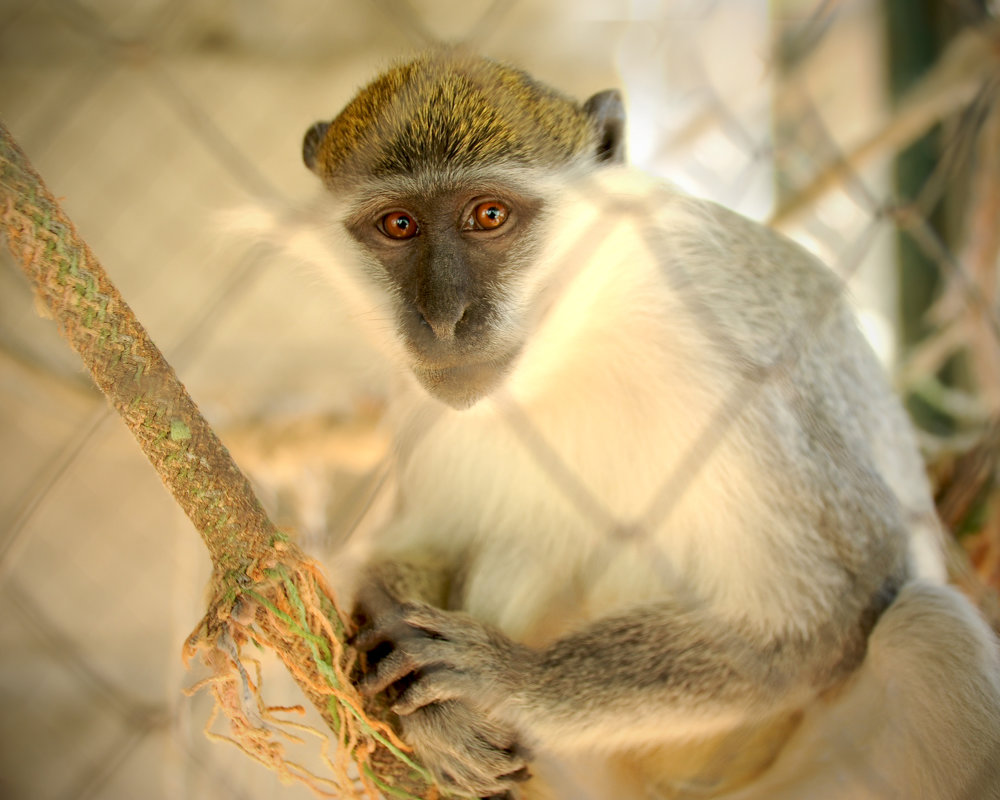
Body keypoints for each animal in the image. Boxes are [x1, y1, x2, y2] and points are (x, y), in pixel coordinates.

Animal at [292, 51, 1000, 800]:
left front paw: (512, 678)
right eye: (398, 225)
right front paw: (434, 712)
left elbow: (843, 601)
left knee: (931, 631)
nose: (444, 318)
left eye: (489, 214)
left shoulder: (740, 352)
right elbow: (429, 543)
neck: (573, 336)